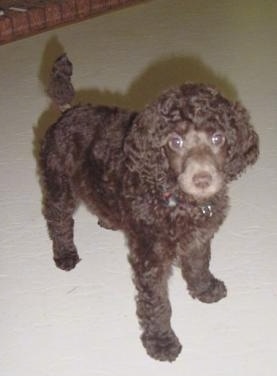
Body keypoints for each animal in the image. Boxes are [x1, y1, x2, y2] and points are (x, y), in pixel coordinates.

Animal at [40, 55, 258, 362]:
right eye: (175, 142)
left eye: (218, 138)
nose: (202, 179)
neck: (178, 199)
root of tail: (68, 112)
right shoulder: (150, 256)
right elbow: (156, 302)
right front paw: (161, 342)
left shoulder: (199, 236)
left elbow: (199, 263)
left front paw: (204, 289)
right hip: (58, 184)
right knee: (58, 221)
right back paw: (65, 254)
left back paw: (109, 221)